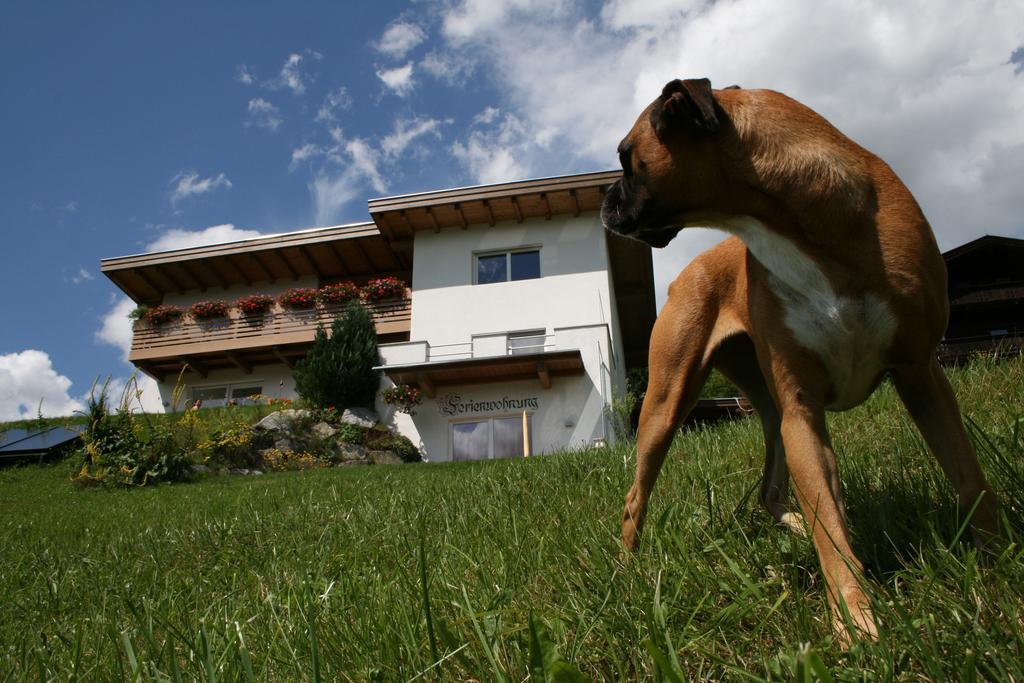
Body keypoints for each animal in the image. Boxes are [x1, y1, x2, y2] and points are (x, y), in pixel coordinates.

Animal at [602, 78, 995, 643]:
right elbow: (830, 529)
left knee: (770, 490)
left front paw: (993, 561)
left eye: (625, 157)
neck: (797, 221)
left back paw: (789, 529)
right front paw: (856, 622)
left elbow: (969, 478)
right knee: (636, 498)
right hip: (667, 405)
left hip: (768, 412)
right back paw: (628, 572)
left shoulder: (921, 375)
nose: (605, 198)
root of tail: (686, 272)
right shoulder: (803, 413)